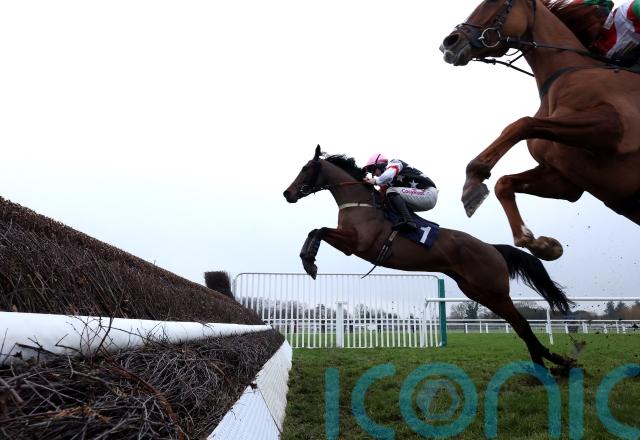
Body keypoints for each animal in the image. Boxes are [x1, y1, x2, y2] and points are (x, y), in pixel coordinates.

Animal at [283, 145, 575, 371]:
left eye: (306, 168)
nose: (288, 193)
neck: (360, 203)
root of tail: (491, 247)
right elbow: (315, 230)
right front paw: (307, 259)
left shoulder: (357, 243)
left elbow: (319, 230)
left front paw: (309, 261)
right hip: (479, 292)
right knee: (519, 325)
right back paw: (556, 360)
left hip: (494, 292)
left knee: (523, 325)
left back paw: (545, 366)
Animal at [440, 0, 640, 261]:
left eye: (494, 2)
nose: (449, 43)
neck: (563, 75)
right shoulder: (564, 179)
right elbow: (504, 183)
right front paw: (540, 243)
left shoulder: (615, 127)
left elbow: (522, 123)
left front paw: (472, 180)